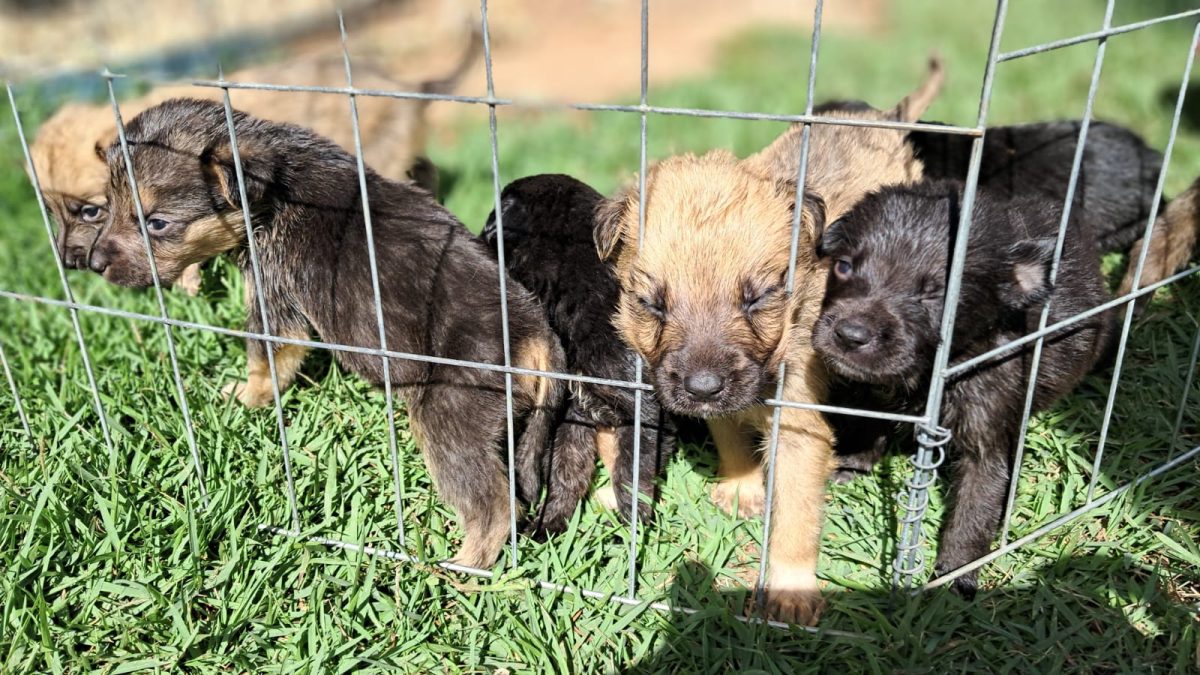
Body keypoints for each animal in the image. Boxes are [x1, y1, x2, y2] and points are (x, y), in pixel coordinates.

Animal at [88, 96, 566, 566]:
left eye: (157, 223)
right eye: (104, 207)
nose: (92, 264)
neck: (273, 190)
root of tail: (536, 335)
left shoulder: (274, 301)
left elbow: (265, 363)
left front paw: (244, 398)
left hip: (448, 419)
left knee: (493, 508)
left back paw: (455, 568)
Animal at [482, 172, 681, 530]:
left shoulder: (645, 417)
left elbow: (631, 478)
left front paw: (632, 530)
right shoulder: (573, 414)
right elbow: (565, 472)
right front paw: (549, 527)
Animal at [590, 61, 945, 619]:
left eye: (757, 299)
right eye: (652, 304)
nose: (702, 387)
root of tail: (886, 119)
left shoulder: (800, 429)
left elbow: (796, 517)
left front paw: (791, 591)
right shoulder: (725, 403)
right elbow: (730, 434)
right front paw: (740, 488)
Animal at [816, 178, 1113, 593]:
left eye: (937, 295)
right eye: (843, 266)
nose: (850, 334)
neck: (933, 374)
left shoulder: (986, 444)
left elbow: (973, 513)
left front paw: (955, 579)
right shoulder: (875, 388)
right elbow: (868, 423)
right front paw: (851, 464)